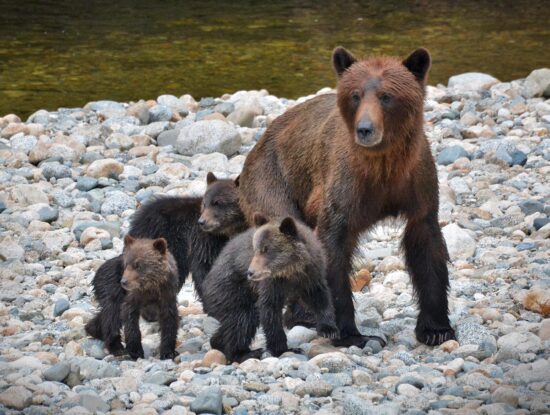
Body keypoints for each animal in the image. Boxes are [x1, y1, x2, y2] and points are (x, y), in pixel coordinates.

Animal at [91, 171, 247, 316]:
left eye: (218, 203)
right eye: (205, 203)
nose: (202, 222)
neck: (227, 232)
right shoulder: (203, 240)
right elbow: (204, 267)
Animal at [203, 214, 340, 364]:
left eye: (266, 249)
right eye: (255, 249)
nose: (250, 272)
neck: (291, 271)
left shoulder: (311, 274)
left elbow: (319, 297)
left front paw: (329, 329)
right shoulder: (271, 283)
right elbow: (270, 309)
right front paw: (284, 349)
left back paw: (218, 342)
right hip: (230, 289)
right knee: (243, 318)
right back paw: (245, 353)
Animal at [242, 48, 458, 348]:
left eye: (386, 95)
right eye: (356, 94)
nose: (365, 128)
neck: (383, 165)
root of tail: (258, 144)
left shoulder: (417, 184)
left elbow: (427, 246)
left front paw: (436, 329)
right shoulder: (345, 189)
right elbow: (332, 249)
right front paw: (351, 334)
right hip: (272, 181)